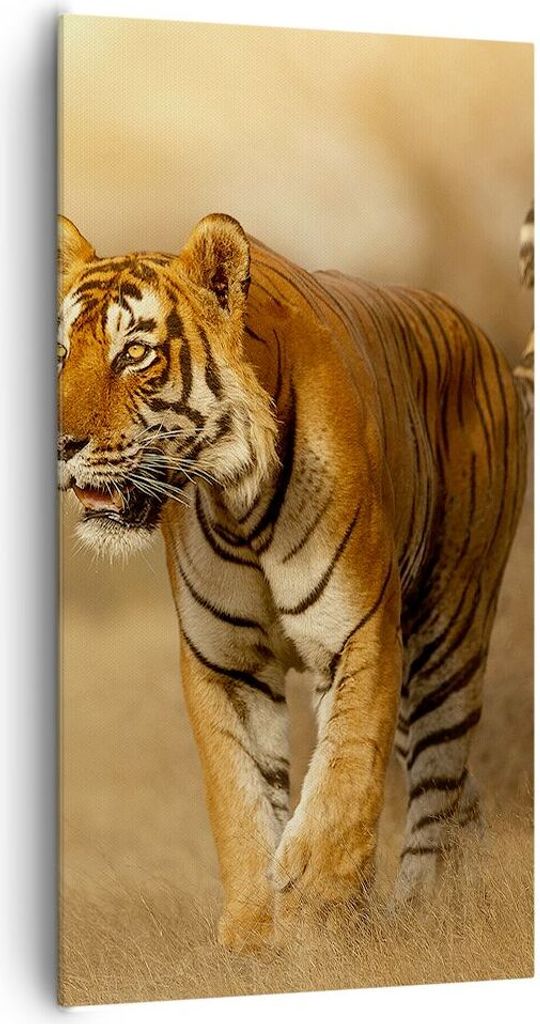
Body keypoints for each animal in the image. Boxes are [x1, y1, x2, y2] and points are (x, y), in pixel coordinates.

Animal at [58, 209, 533, 952]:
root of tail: (478, 333)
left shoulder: (360, 631)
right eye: (58, 355)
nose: (58, 445)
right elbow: (241, 794)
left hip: (447, 638)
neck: (234, 499)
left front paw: (316, 903)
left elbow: (343, 773)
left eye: (133, 354)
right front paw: (257, 934)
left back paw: (422, 913)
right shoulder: (224, 662)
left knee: (438, 783)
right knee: (462, 793)